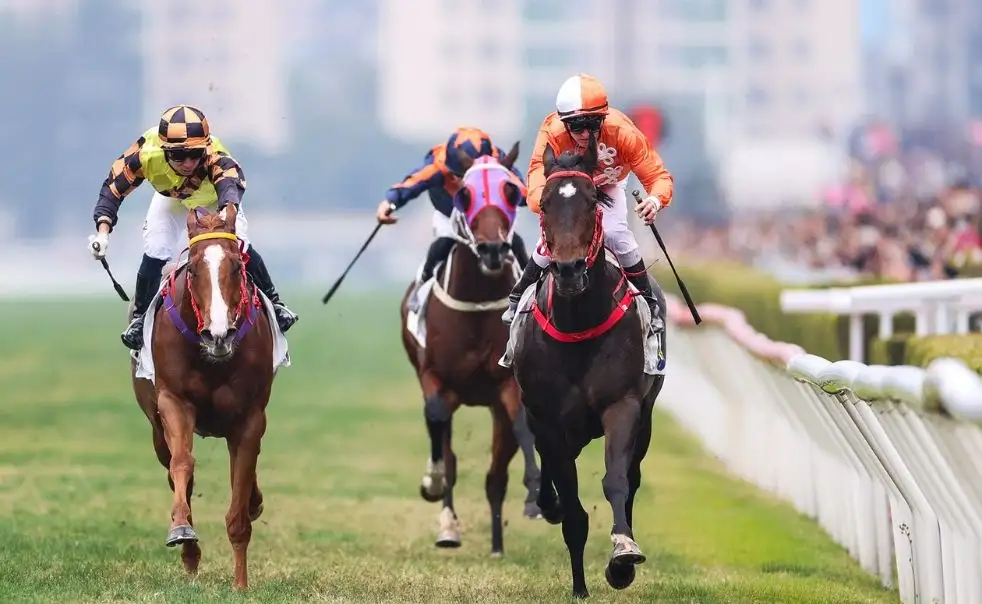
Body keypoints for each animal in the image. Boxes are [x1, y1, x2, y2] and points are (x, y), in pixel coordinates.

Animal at [129, 205, 278, 588]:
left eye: (237, 266)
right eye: (194, 268)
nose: (218, 334)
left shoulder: (249, 418)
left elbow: (240, 499)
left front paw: (241, 584)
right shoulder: (173, 402)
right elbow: (183, 464)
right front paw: (181, 529)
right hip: (156, 428)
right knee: (175, 468)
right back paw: (190, 553)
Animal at [508, 136, 668, 596]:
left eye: (592, 200)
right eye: (544, 203)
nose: (567, 269)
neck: (578, 324)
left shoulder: (624, 405)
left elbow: (617, 481)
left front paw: (623, 559)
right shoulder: (547, 419)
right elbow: (573, 511)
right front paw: (579, 586)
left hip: (646, 417)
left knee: (632, 477)